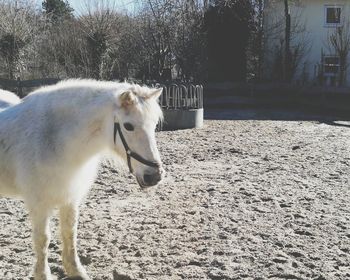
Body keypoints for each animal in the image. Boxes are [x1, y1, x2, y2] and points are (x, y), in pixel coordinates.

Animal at [0, 79, 164, 280]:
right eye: (128, 126)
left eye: (154, 125)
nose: (154, 176)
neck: (53, 137)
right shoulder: (38, 203)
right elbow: (43, 239)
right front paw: (43, 274)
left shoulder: (70, 198)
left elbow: (69, 233)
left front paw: (75, 271)